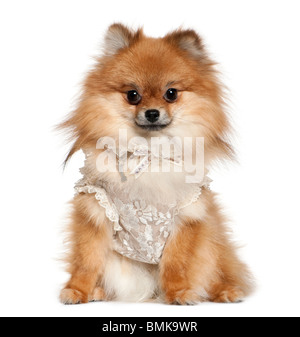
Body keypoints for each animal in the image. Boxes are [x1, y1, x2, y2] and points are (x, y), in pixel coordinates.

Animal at [58, 22, 253, 304]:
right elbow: (86, 260)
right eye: (133, 95)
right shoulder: (95, 208)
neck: (149, 153)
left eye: (171, 94)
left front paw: (178, 292)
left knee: (219, 269)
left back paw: (227, 291)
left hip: (210, 241)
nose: (152, 113)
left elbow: (176, 263)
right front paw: (78, 290)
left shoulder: (187, 215)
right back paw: (97, 292)